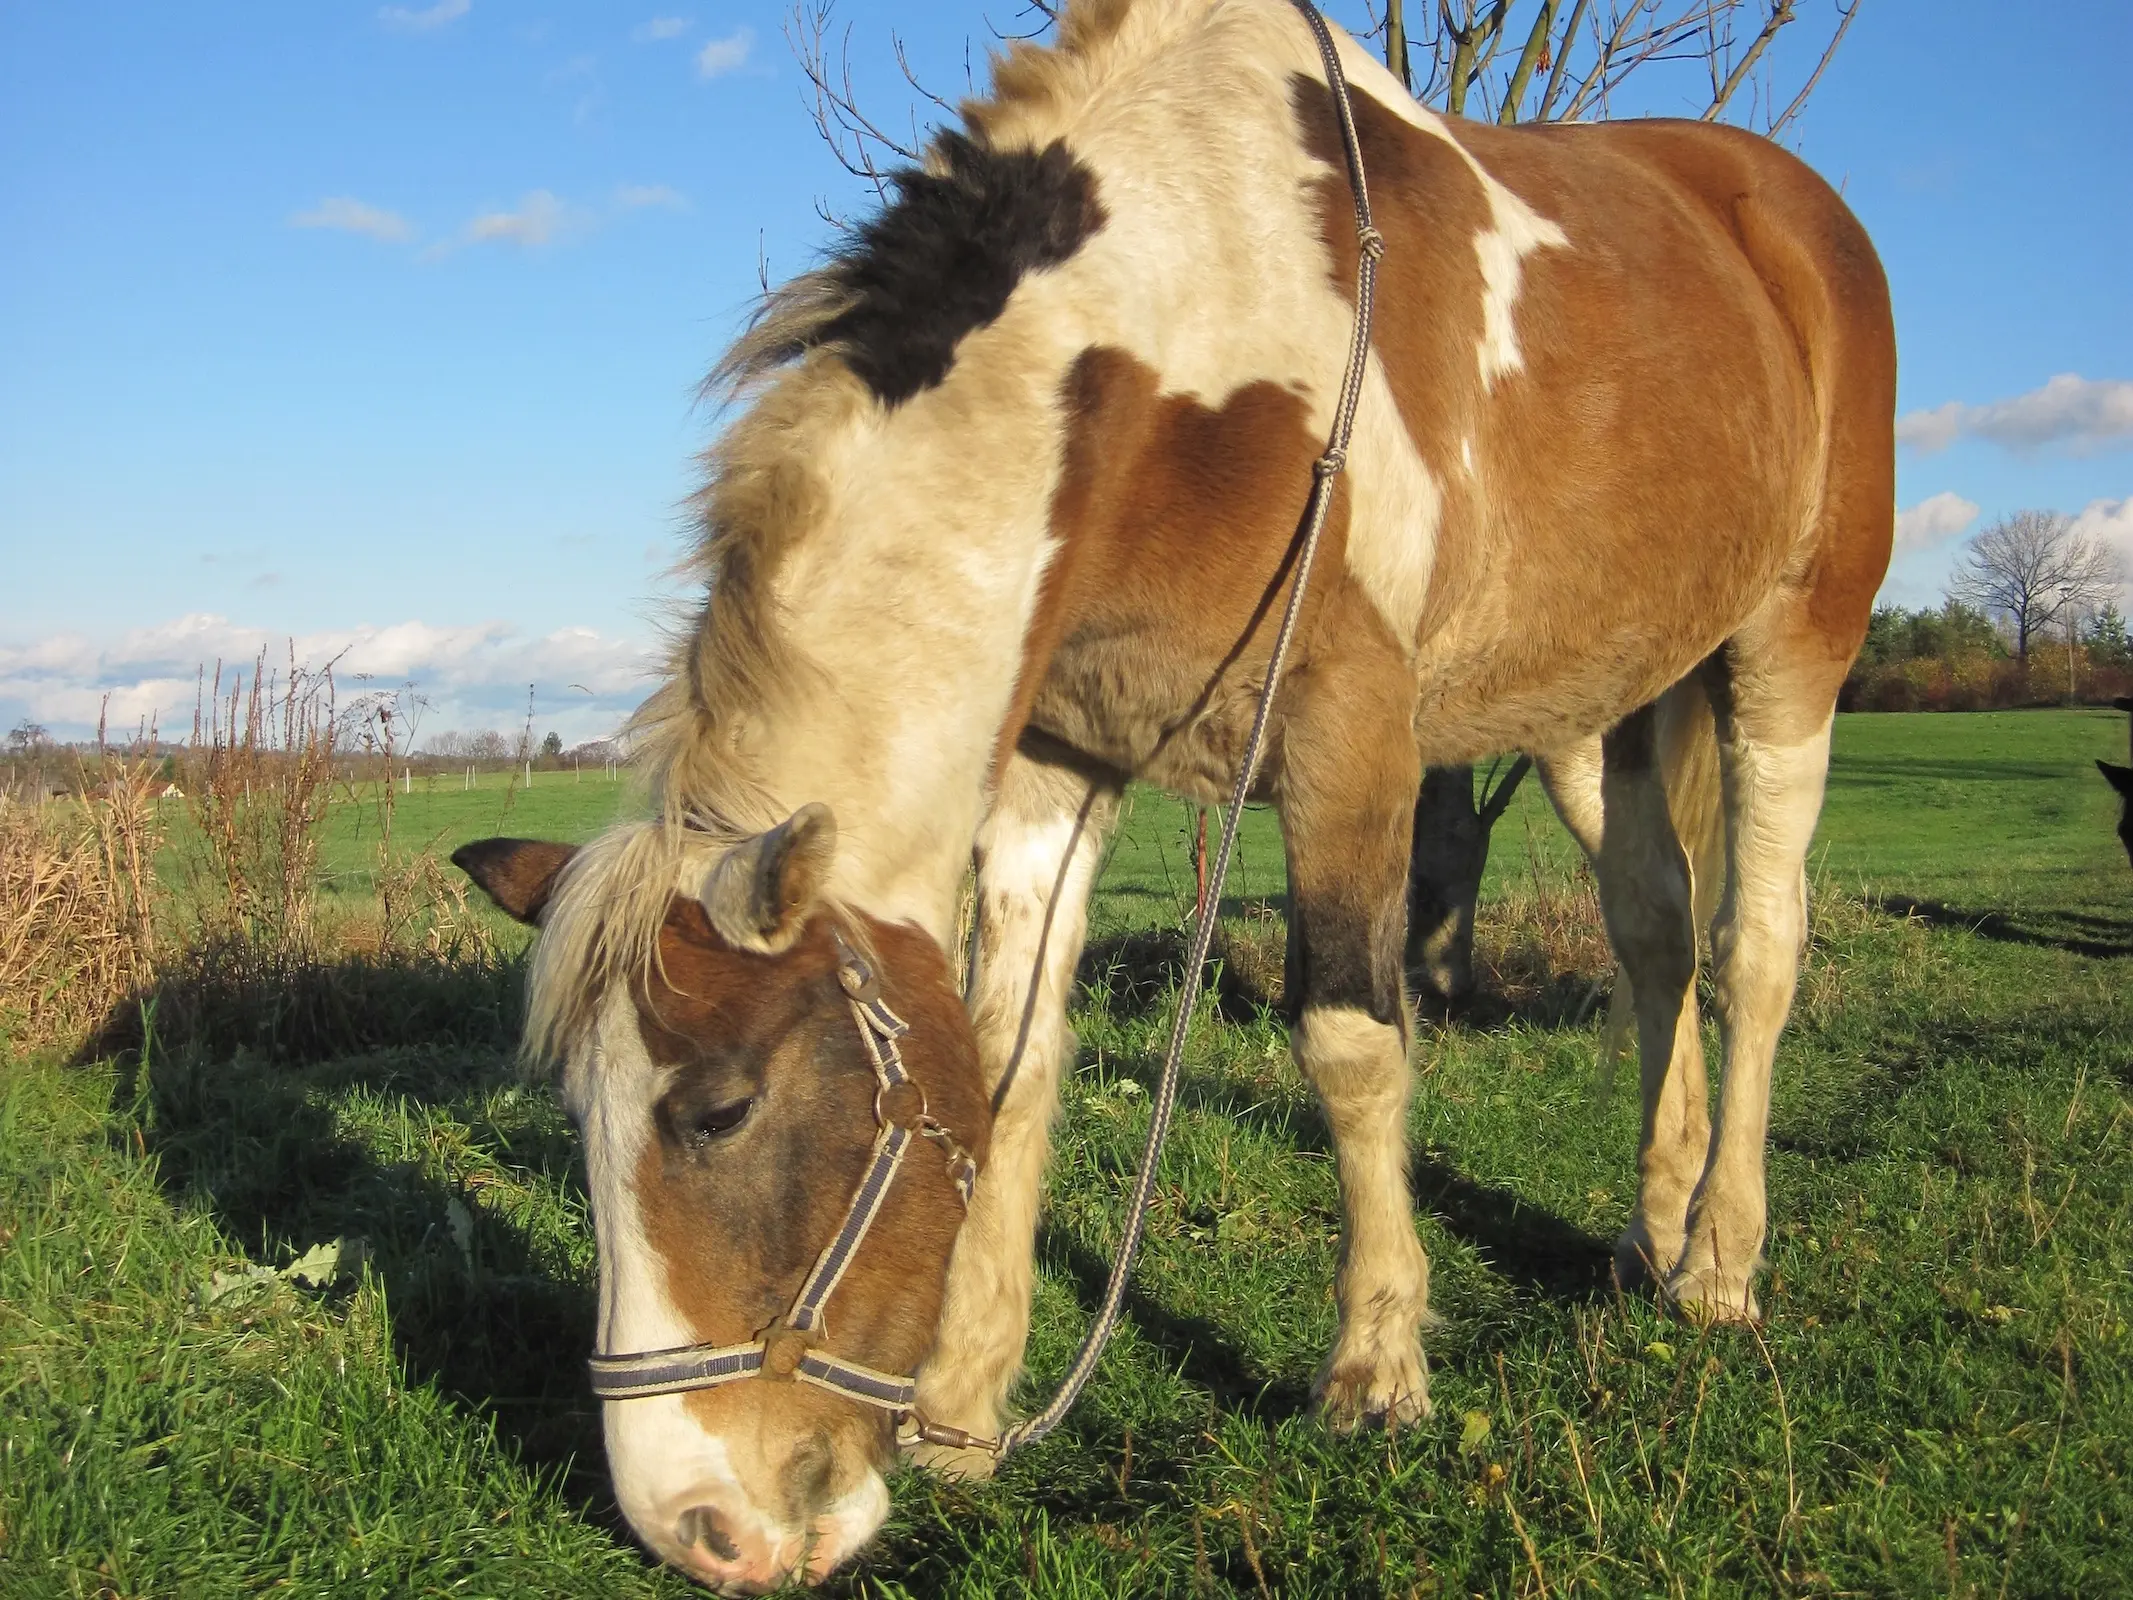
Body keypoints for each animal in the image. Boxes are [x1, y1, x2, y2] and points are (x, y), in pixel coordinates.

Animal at [458, 0, 1894, 1595]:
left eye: (717, 1113)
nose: (698, 1528)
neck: (1180, 357)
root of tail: (1785, 212)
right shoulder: (1055, 765)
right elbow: (1010, 1061)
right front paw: (964, 1411)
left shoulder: (1350, 744)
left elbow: (1351, 1045)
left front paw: (1375, 1371)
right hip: (1602, 706)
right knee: (1653, 936)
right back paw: (1656, 1222)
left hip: (1788, 655)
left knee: (1754, 951)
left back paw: (1719, 1265)